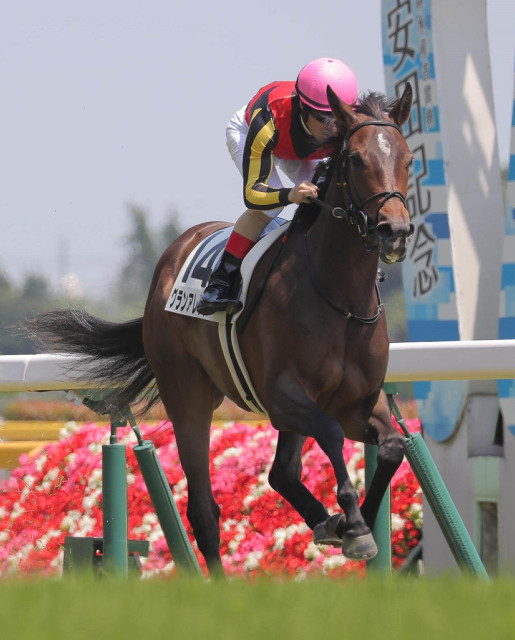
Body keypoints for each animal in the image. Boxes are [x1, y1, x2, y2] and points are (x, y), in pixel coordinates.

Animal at [27, 83, 414, 576]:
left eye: (408, 158)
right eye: (357, 159)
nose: (393, 230)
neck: (339, 298)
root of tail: (170, 257)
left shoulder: (358, 402)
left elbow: (392, 446)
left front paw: (352, 522)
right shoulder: (283, 396)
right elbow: (328, 432)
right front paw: (355, 525)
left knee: (280, 473)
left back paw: (324, 521)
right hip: (186, 393)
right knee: (203, 510)